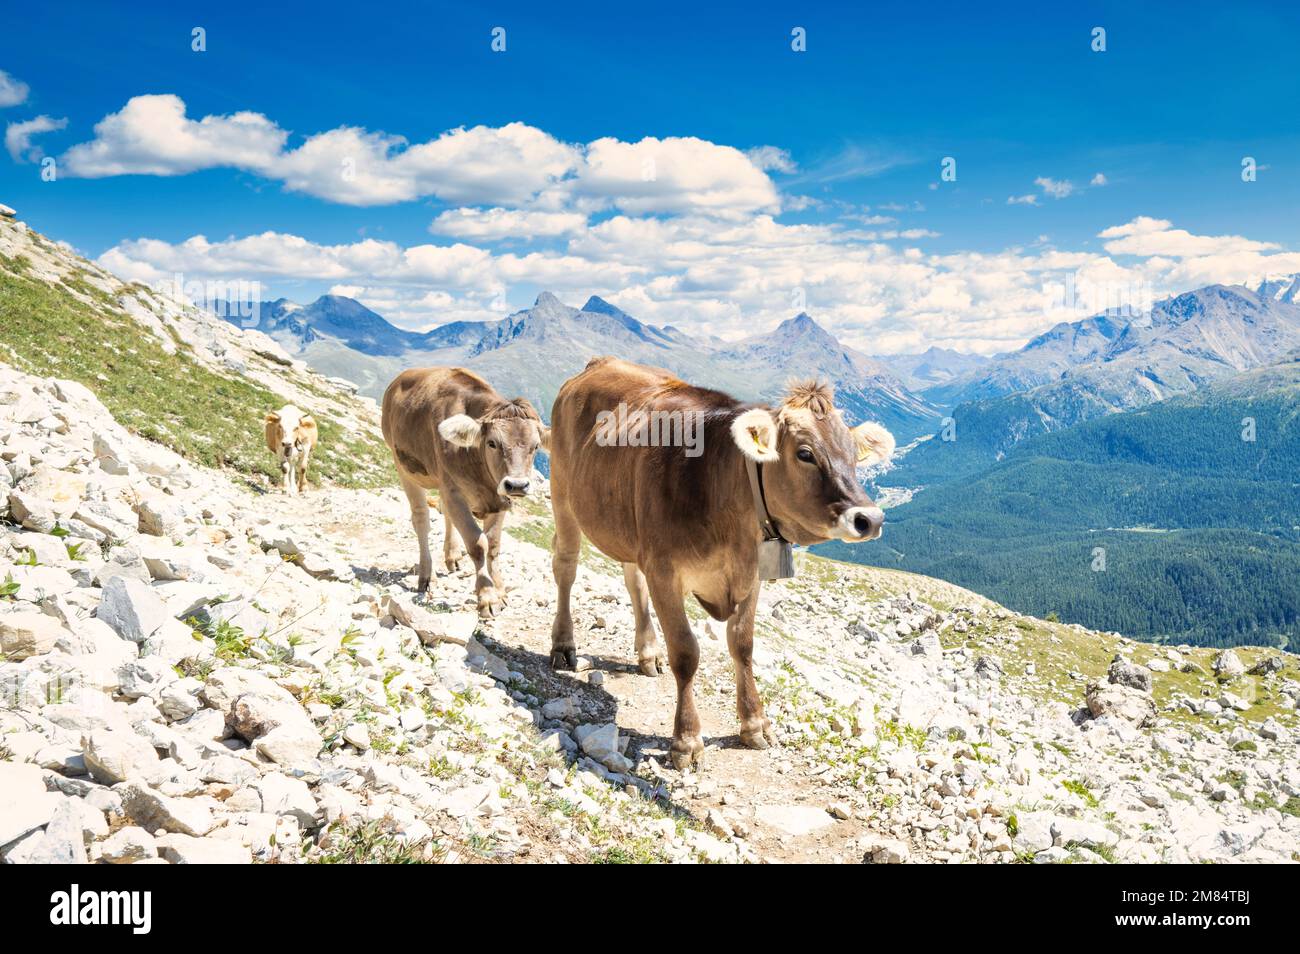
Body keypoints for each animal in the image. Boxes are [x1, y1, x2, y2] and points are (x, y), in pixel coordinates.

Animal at [381, 367, 549, 617]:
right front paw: (487, 597)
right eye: (492, 443)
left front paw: (499, 589)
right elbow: (478, 544)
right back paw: (426, 577)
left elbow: (493, 545)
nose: (518, 485)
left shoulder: (499, 498)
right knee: (421, 519)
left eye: (535, 446)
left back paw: (451, 555)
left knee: (445, 514)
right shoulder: (454, 492)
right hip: (404, 466)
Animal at [548, 357, 894, 769]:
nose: (870, 519)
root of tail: (599, 364)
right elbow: (686, 652)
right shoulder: (664, 570)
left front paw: (755, 723)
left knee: (633, 581)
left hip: (628, 528)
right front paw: (686, 740)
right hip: (562, 494)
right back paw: (563, 646)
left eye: (855, 455)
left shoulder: (751, 573)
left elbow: (742, 644)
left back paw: (648, 653)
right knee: (566, 566)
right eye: (805, 453)